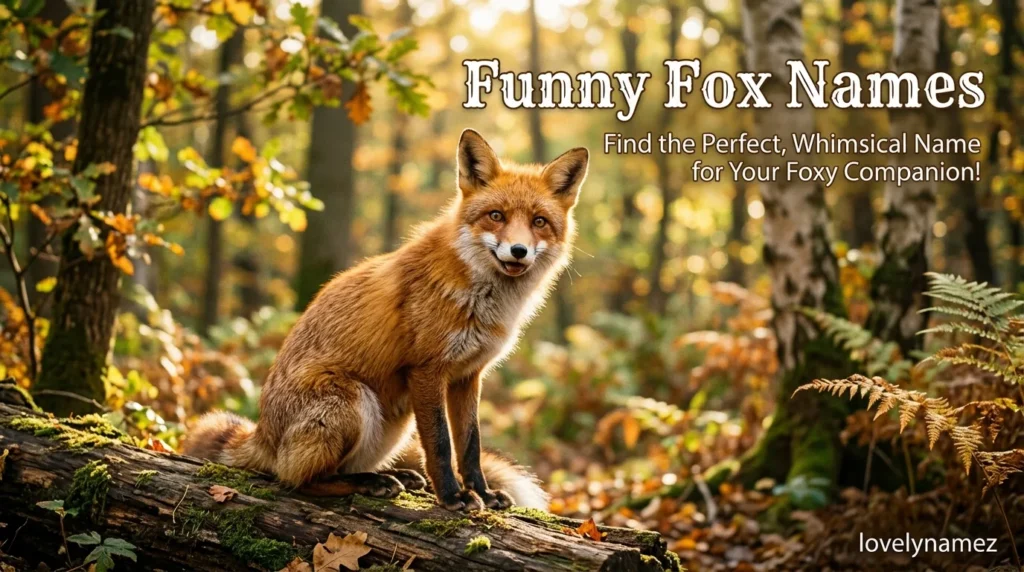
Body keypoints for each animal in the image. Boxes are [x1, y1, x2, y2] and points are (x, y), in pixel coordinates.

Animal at [184, 129, 588, 511]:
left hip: (394, 422)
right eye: (496, 216)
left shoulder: (468, 376)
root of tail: (263, 434)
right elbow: (440, 445)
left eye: (538, 222)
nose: (518, 251)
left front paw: (483, 494)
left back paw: (392, 476)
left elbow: (470, 445)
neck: (483, 297)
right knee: (296, 479)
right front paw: (452, 497)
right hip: (351, 401)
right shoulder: (427, 370)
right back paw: (369, 483)